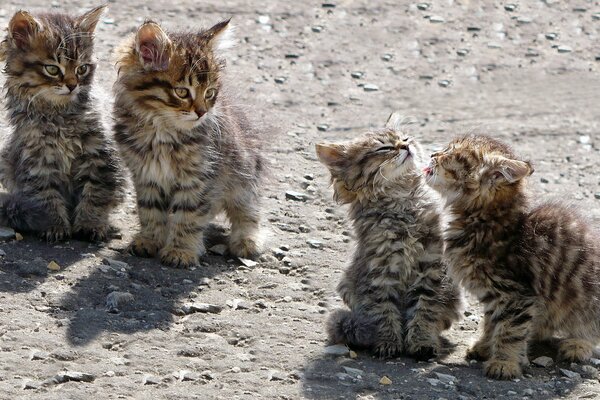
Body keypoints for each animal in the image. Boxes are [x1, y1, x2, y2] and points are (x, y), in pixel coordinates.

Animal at [0, 6, 124, 242]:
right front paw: (55, 225)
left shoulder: (99, 154)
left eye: (82, 69)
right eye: (52, 69)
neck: (58, 116)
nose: (73, 86)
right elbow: (46, 198)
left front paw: (91, 224)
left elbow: (96, 193)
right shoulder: (37, 161)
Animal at [112, 19, 262, 268]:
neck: (161, 132)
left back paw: (247, 241)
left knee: (248, 210)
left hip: (243, 174)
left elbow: (189, 216)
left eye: (210, 93)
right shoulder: (146, 174)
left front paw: (181, 251)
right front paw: (150, 240)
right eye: (182, 92)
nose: (202, 112)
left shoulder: (201, 177)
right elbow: (150, 211)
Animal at [316, 114, 462, 360]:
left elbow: (425, 310)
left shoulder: (430, 267)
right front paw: (389, 342)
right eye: (384, 148)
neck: (402, 205)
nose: (405, 146)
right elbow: (383, 312)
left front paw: (422, 342)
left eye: (405, 139)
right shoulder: (380, 273)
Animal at [424, 134, 600, 378]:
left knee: (590, 328)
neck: (486, 222)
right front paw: (485, 346)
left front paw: (504, 362)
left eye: (452, 154)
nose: (433, 154)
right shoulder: (493, 295)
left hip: (586, 300)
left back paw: (578, 345)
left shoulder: (516, 293)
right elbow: (491, 323)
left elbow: (509, 331)